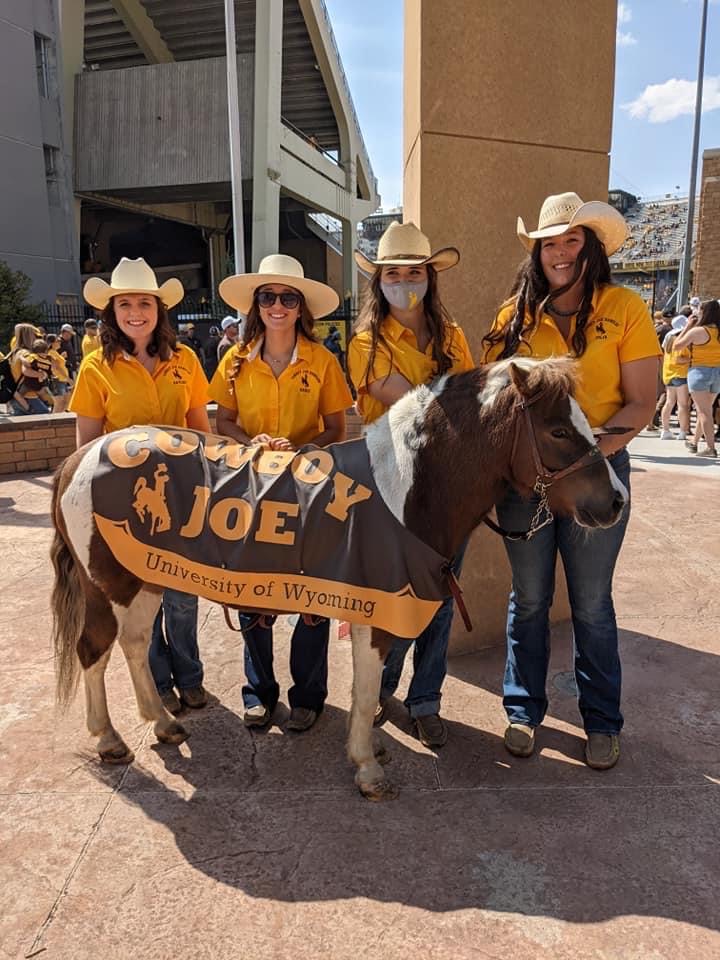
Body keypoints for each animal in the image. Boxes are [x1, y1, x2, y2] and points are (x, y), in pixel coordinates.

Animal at [50, 356, 628, 800]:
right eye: (557, 430)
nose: (615, 501)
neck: (402, 490)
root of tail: (81, 456)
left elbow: (366, 691)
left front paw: (371, 748)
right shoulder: (376, 616)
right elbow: (367, 690)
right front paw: (367, 767)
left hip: (142, 580)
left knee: (133, 643)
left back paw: (163, 723)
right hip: (109, 585)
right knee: (94, 650)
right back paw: (108, 738)